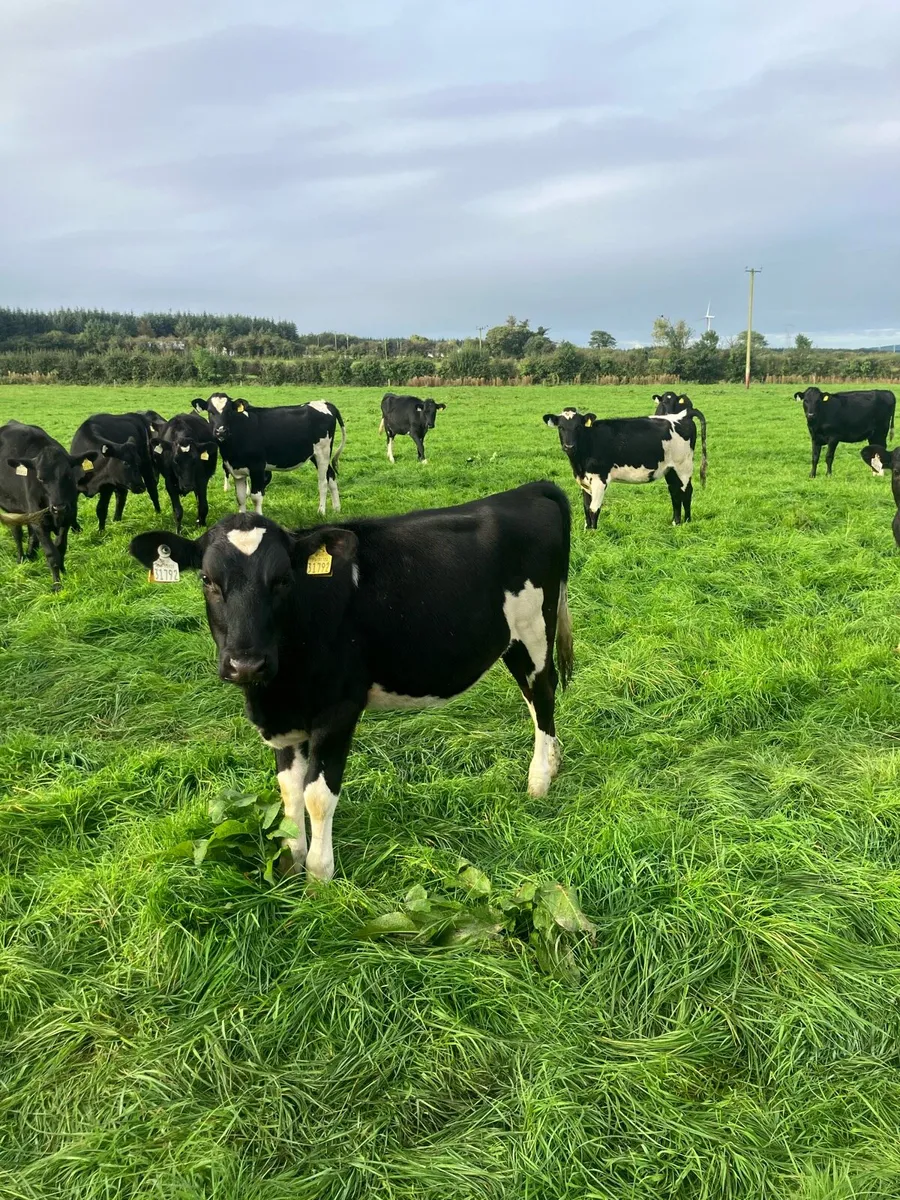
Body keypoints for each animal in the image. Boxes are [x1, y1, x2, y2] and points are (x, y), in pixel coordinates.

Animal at [0, 420, 98, 589]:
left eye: (68, 475)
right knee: (17, 533)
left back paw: (31, 553)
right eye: (40, 478)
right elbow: (51, 553)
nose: (59, 507)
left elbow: (60, 547)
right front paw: (57, 585)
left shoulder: (69, 515)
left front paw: (64, 571)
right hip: (12, 509)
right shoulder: (39, 520)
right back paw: (21, 558)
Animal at [128, 480, 573, 881]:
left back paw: (539, 779)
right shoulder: (285, 719)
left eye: (283, 579)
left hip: (533, 629)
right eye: (206, 579)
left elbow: (317, 795)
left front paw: (319, 879)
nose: (246, 664)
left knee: (543, 692)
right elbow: (289, 791)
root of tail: (530, 489)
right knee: (533, 699)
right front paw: (290, 865)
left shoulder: (338, 708)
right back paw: (552, 761)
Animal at [192, 394, 345, 516]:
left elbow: (255, 497)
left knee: (323, 482)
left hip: (322, 452)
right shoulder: (236, 470)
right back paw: (337, 508)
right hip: (316, 454)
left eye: (229, 411)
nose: (221, 431)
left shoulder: (257, 467)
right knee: (331, 476)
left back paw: (321, 511)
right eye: (210, 412)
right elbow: (240, 498)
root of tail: (325, 403)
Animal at [543, 407, 703, 528]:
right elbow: (586, 508)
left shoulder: (599, 479)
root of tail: (682, 415)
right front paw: (587, 531)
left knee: (686, 491)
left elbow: (594, 509)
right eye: (561, 427)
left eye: (578, 427)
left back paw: (687, 521)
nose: (569, 446)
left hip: (683, 466)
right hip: (670, 469)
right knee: (675, 493)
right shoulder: (584, 481)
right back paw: (676, 522)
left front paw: (594, 533)